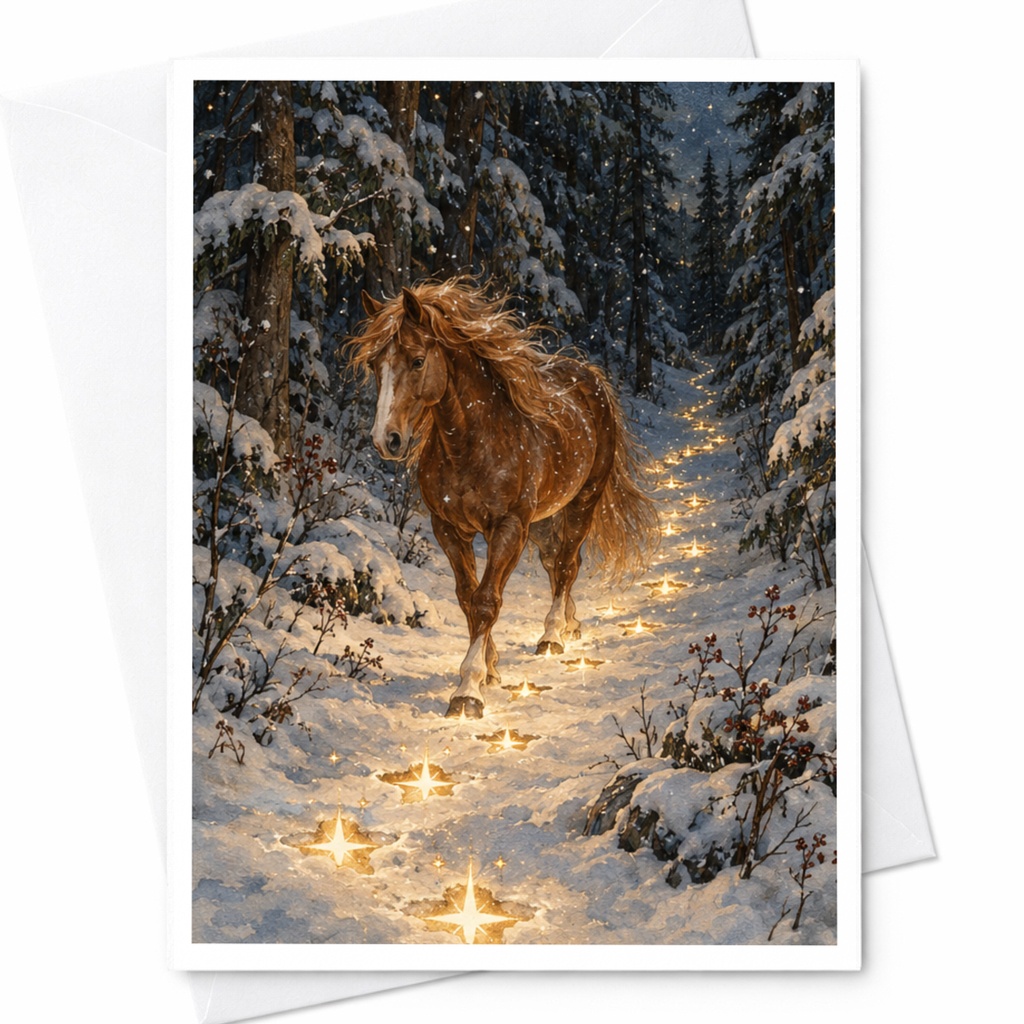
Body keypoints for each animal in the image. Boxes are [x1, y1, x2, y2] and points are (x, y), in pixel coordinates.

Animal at [349, 279, 658, 718]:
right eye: (376, 364)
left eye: (417, 360)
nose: (385, 439)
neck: (471, 443)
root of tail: (590, 376)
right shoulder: (449, 529)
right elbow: (467, 597)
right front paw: (490, 668)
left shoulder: (508, 527)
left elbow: (486, 600)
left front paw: (468, 690)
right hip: (544, 519)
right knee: (556, 563)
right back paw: (570, 623)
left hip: (583, 500)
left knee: (567, 565)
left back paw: (552, 635)